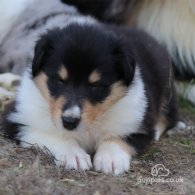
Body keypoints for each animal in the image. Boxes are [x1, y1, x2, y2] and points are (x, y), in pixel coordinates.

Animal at [1, 22, 178, 175]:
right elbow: (54, 134)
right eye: (59, 80)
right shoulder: (17, 120)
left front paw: (110, 158)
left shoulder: (138, 125)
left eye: (96, 85)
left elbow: (115, 136)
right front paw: (73, 155)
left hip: (166, 83)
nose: (69, 122)